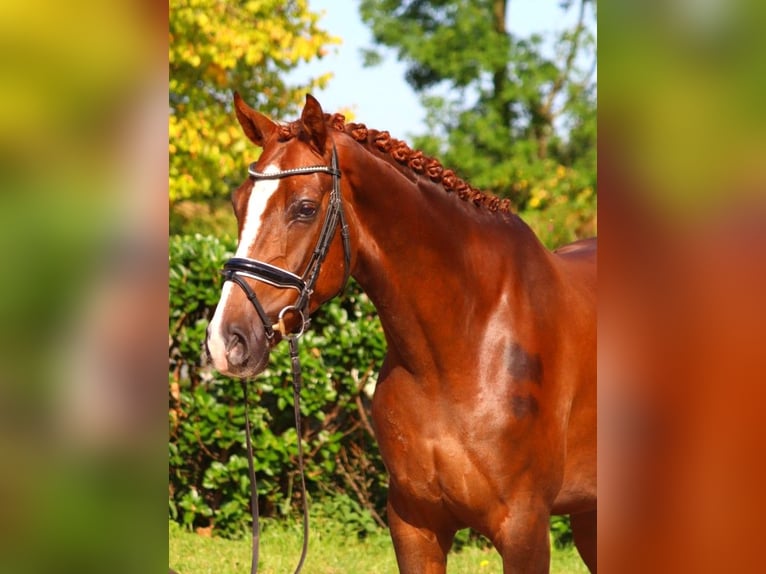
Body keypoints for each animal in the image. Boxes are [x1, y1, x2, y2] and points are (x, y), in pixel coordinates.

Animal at [206, 92, 600, 572]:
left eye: (305, 208)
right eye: (238, 203)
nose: (226, 340)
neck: (462, 347)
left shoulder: (525, 529)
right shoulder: (414, 524)